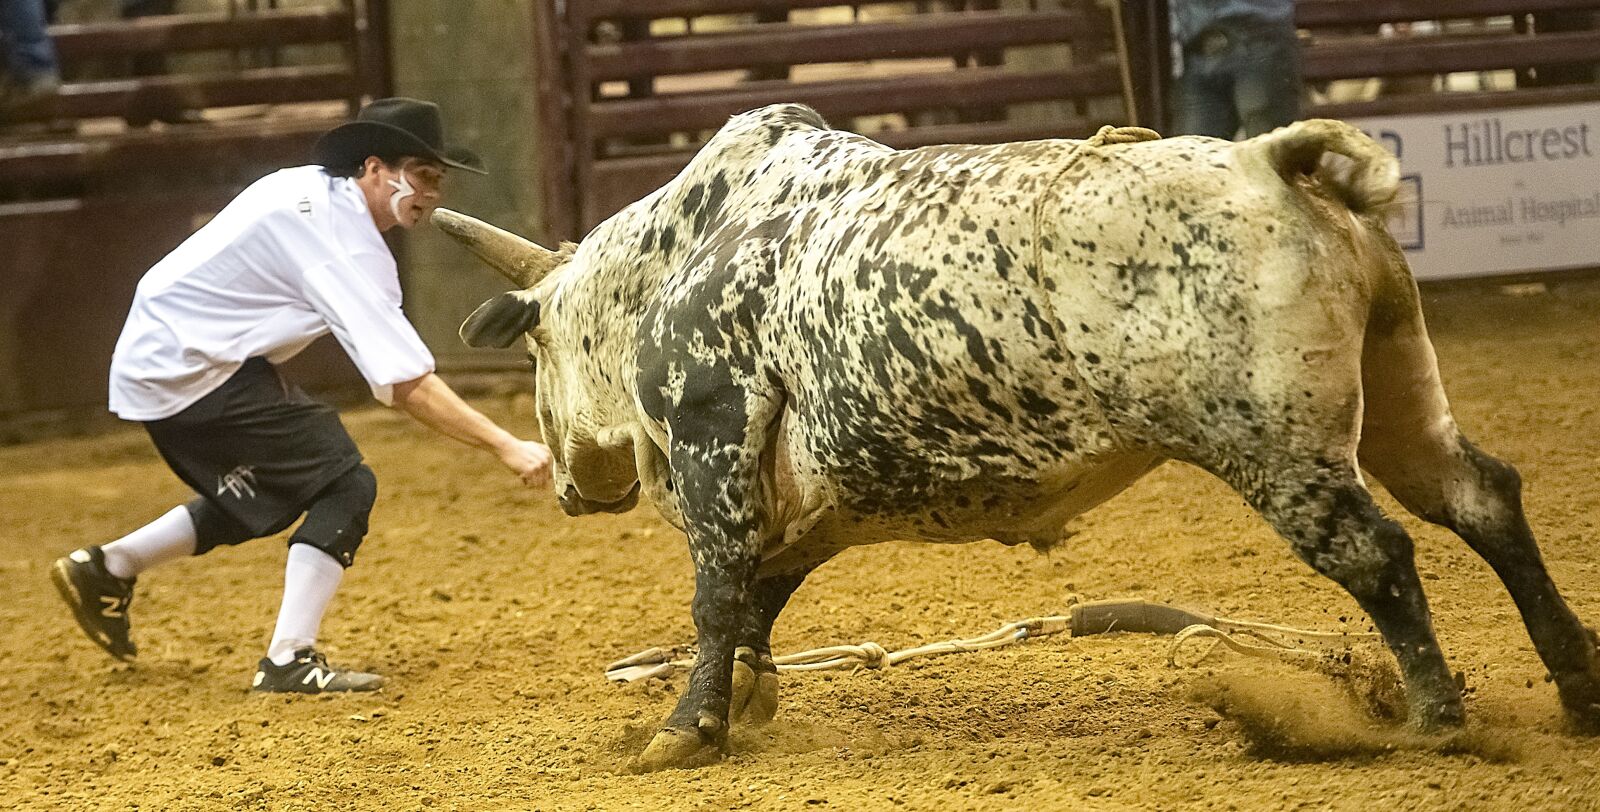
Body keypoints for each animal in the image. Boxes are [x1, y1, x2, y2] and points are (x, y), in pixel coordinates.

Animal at [435, 104, 1600, 770]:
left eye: (533, 356)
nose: (569, 484)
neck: (682, 252)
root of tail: (1272, 162)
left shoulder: (715, 437)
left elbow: (719, 594)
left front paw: (686, 728)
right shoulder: (816, 492)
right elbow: (764, 588)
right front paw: (749, 698)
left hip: (1274, 445)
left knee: (1376, 551)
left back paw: (1433, 718)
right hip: (1400, 387)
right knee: (1480, 497)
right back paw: (1577, 685)